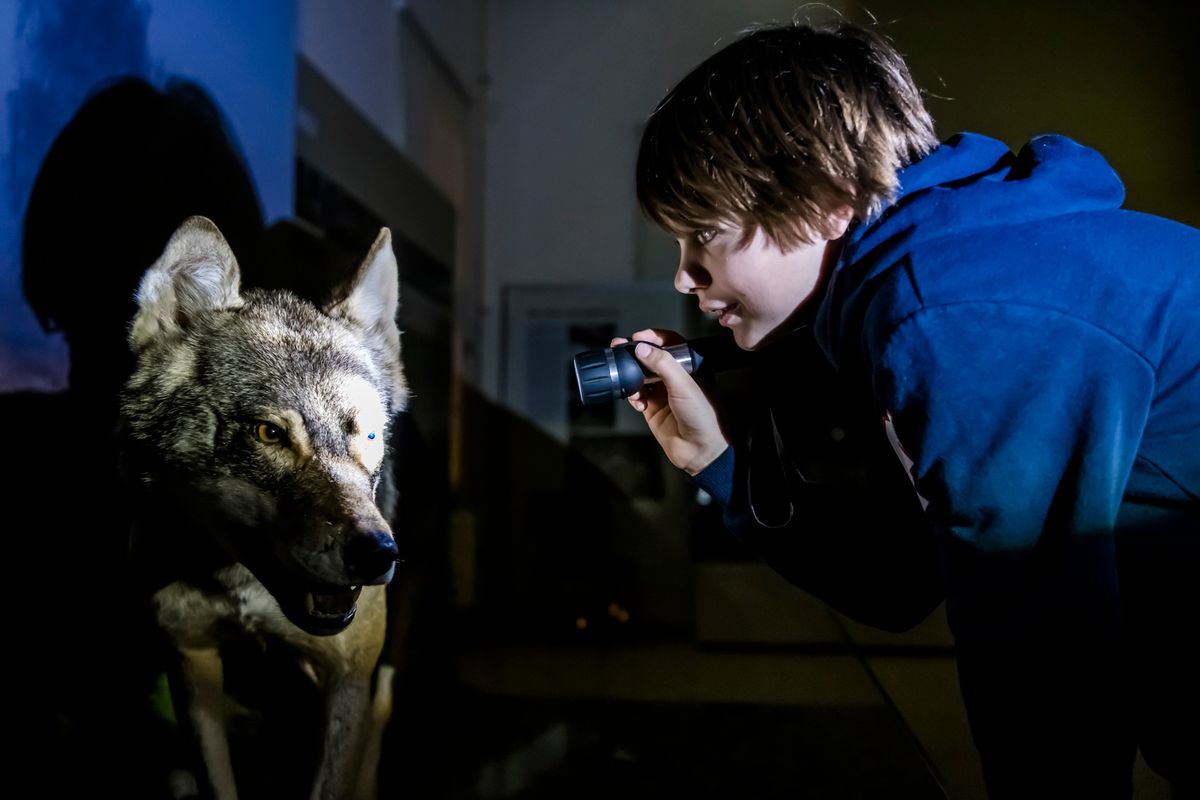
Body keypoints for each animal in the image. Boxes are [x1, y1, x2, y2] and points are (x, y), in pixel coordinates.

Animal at [118, 215, 408, 796]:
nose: (377, 555)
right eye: (269, 433)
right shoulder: (190, 660)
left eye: (368, 434)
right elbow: (216, 780)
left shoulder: (349, 679)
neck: (245, 588)